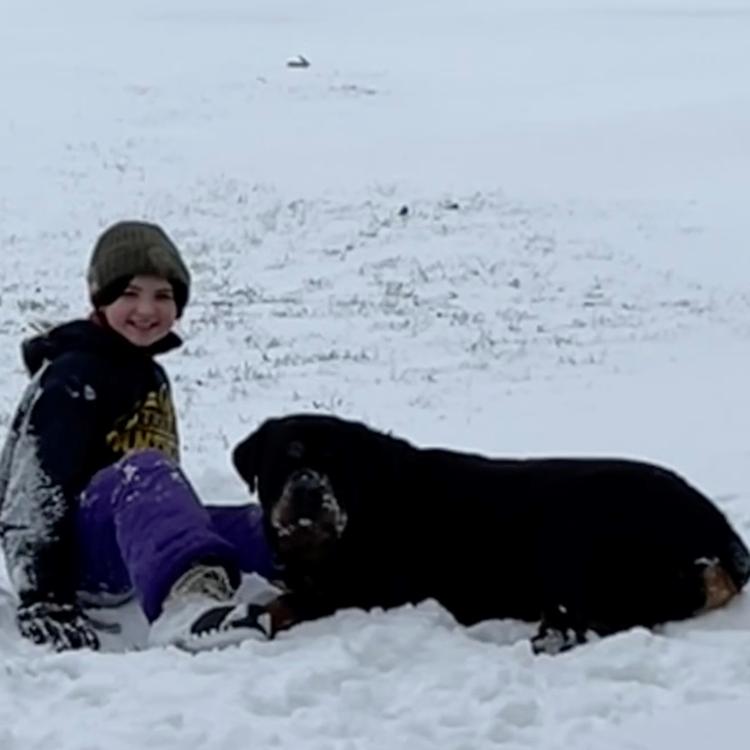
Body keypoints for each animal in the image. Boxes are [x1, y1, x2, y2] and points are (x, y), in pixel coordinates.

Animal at [234, 414, 750, 656]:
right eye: (284, 459)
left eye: (336, 464)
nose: (308, 487)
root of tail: (722, 537)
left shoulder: (374, 591)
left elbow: (285, 604)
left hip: (574, 532)